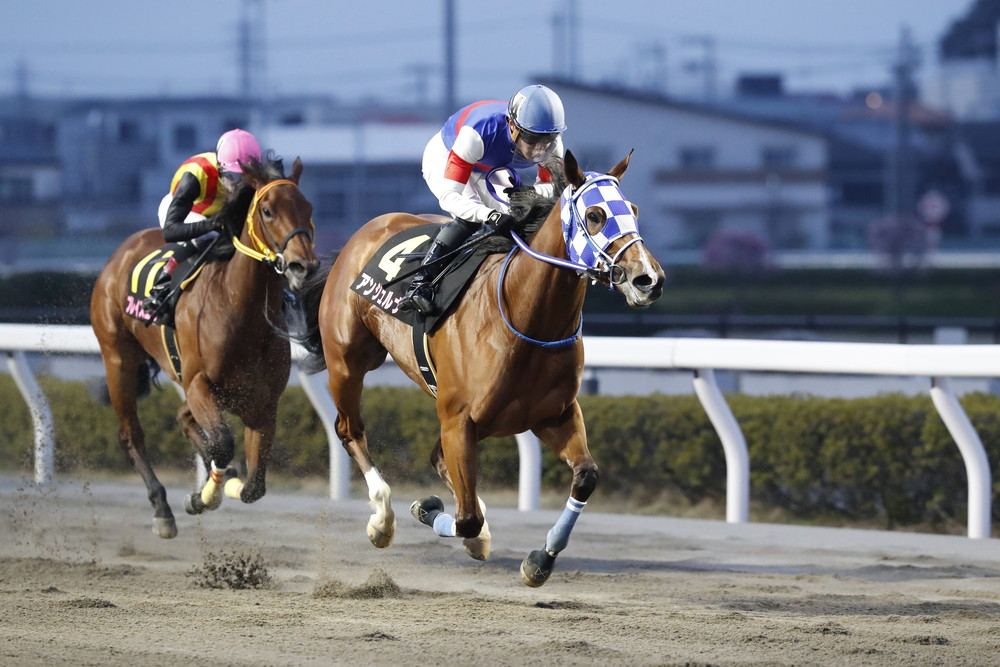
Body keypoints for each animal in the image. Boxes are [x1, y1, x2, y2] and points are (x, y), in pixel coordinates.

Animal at [90, 157, 319, 538]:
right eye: (268, 211)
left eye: (309, 208)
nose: (305, 267)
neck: (238, 308)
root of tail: (121, 252)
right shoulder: (199, 383)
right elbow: (222, 445)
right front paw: (202, 496)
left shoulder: (262, 401)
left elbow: (254, 486)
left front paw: (224, 484)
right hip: (118, 357)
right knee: (131, 435)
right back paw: (162, 510)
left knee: (183, 419)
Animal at [295, 149, 664, 586]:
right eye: (595, 215)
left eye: (634, 210)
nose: (648, 280)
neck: (525, 319)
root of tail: (362, 233)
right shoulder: (458, 419)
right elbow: (465, 518)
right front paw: (428, 510)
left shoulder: (553, 414)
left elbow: (586, 476)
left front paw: (540, 559)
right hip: (348, 361)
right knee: (350, 430)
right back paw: (382, 520)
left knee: (439, 460)